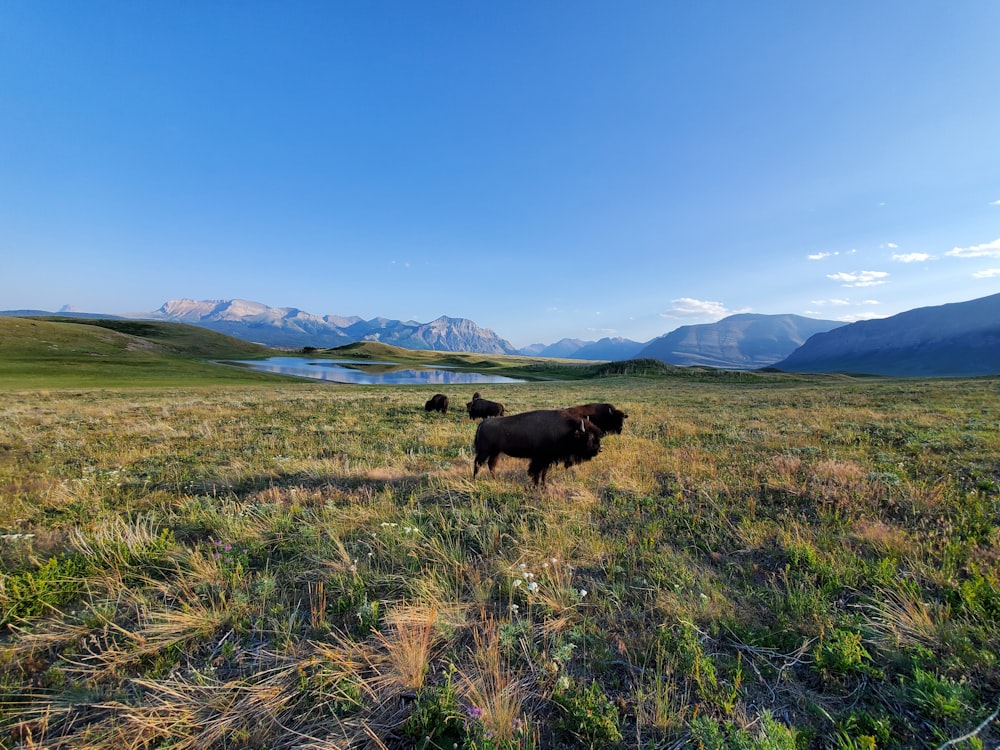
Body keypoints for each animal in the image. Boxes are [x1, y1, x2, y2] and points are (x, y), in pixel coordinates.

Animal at [474, 412, 604, 488]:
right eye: (590, 437)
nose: (599, 450)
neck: (568, 431)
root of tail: (483, 423)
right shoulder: (539, 459)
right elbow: (536, 473)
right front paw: (536, 487)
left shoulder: (547, 459)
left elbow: (543, 473)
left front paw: (544, 486)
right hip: (484, 451)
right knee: (478, 464)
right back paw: (474, 480)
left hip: (495, 452)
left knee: (491, 465)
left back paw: (496, 481)